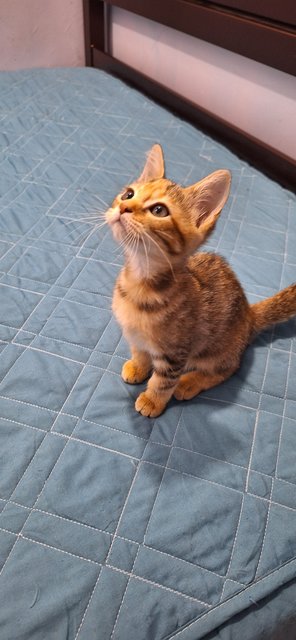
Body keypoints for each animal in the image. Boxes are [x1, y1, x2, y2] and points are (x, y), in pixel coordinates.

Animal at [106, 143, 296, 418]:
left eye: (159, 210)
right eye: (128, 194)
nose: (123, 207)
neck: (138, 284)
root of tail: (249, 314)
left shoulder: (175, 353)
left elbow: (163, 381)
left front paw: (153, 400)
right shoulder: (135, 335)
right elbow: (140, 352)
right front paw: (138, 366)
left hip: (216, 350)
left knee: (228, 368)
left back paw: (190, 383)